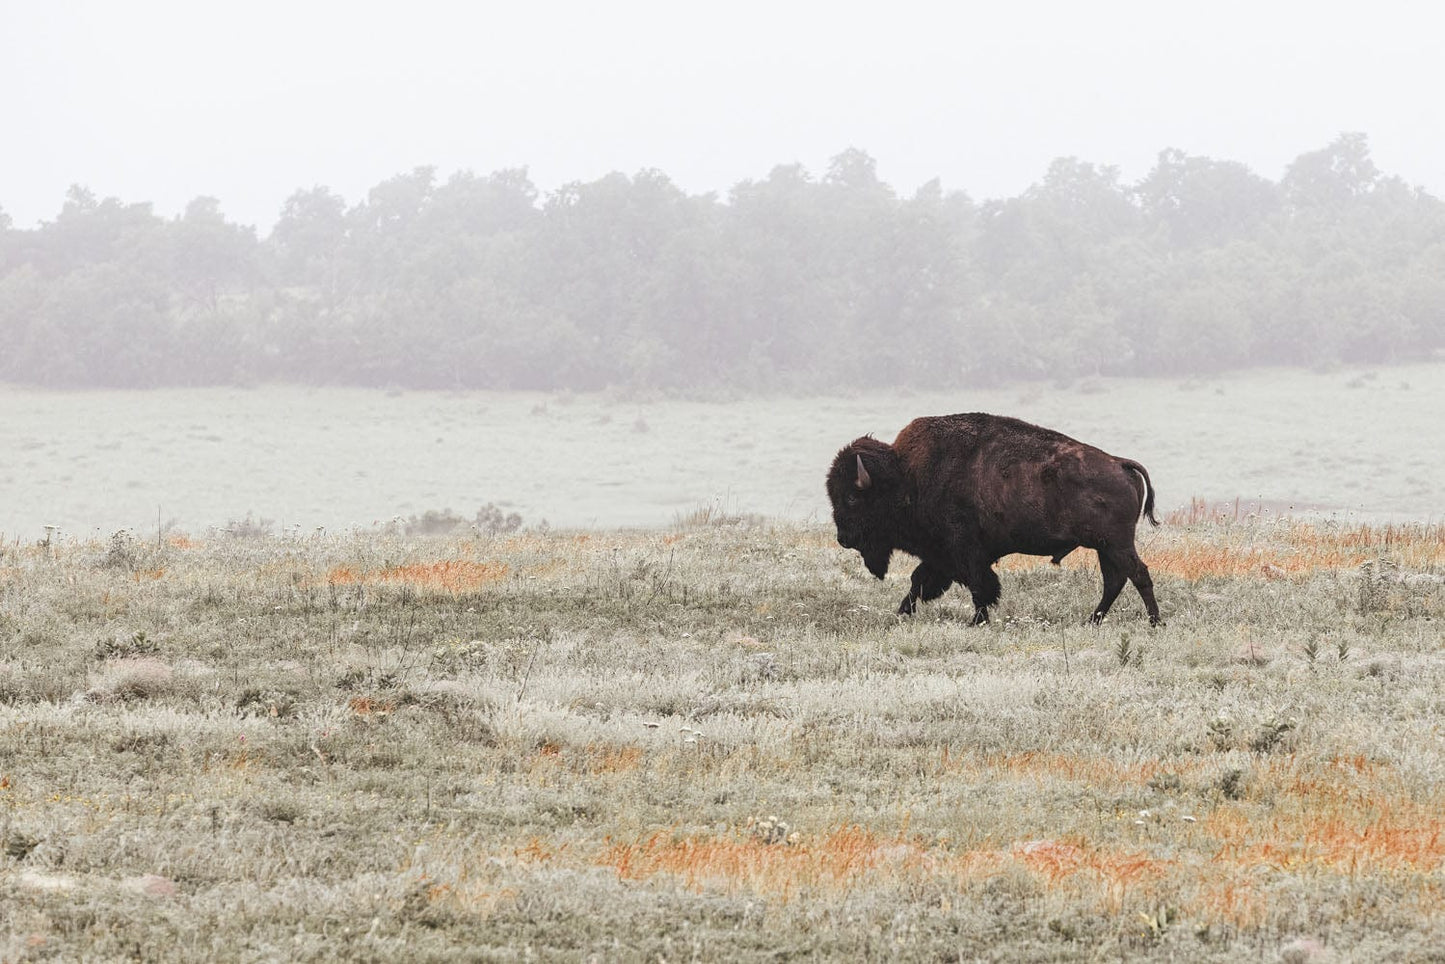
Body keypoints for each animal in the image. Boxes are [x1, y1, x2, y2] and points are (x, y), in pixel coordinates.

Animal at [826, 413, 1162, 626]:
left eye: (852, 498)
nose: (843, 539)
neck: (906, 477)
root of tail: (1119, 463)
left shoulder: (963, 552)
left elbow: (980, 587)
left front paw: (977, 621)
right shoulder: (940, 556)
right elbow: (919, 582)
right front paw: (901, 613)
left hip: (1116, 544)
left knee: (1138, 574)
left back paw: (1155, 623)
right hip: (1105, 547)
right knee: (1115, 581)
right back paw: (1092, 621)